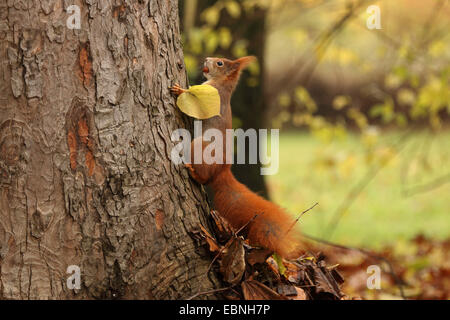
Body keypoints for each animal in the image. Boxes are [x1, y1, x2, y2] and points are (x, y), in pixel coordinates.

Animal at [171, 56, 304, 258]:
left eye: (220, 63)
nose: (207, 59)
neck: (222, 83)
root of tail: (222, 171)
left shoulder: (212, 96)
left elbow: (197, 106)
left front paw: (180, 90)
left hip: (199, 146)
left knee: (203, 178)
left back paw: (193, 172)